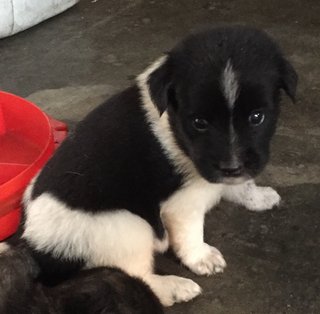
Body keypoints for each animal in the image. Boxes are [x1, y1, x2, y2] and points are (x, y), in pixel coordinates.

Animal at [0, 26, 298, 312]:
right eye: (199, 123)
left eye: (257, 117)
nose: (231, 167)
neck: (174, 125)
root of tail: (31, 245)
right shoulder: (183, 203)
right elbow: (191, 233)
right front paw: (201, 257)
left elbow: (240, 185)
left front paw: (257, 197)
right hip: (129, 227)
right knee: (137, 278)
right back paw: (175, 287)